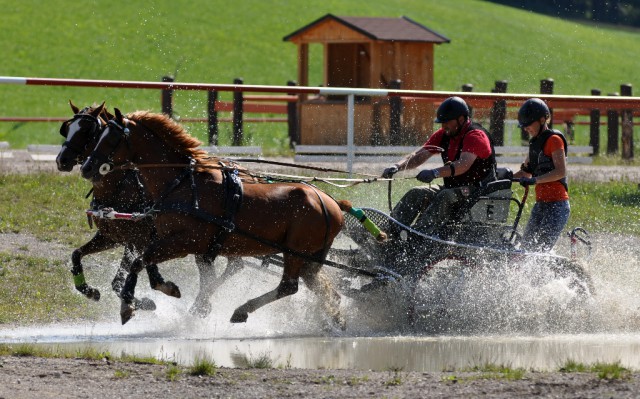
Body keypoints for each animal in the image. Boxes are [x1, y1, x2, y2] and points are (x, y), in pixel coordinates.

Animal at [57, 102, 245, 318]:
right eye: (67, 129)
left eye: (88, 130)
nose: (62, 160)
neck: (120, 188)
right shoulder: (112, 237)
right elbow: (77, 254)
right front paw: (90, 291)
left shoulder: (140, 239)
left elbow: (130, 276)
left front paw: (148, 297)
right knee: (227, 265)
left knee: (229, 267)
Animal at [82, 108, 348, 326]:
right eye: (98, 136)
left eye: (112, 139)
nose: (86, 167)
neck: (182, 183)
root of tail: (332, 203)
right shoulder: (192, 245)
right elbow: (193, 277)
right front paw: (182, 297)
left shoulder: (182, 242)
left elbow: (139, 262)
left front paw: (128, 304)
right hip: (306, 257)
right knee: (319, 288)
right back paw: (335, 320)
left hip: (295, 252)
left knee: (288, 286)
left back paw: (243, 310)